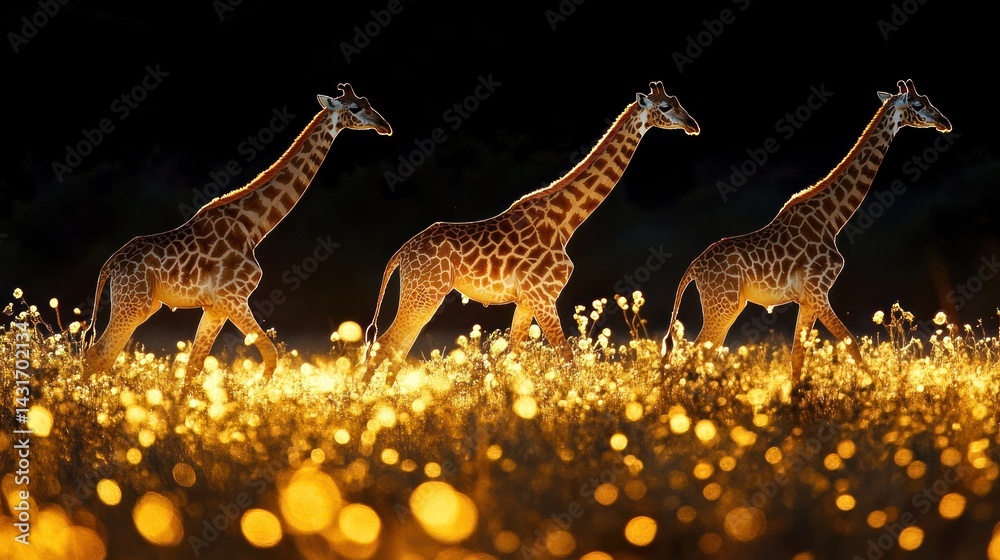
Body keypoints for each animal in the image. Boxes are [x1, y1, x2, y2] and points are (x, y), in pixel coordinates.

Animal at [83, 83, 392, 383]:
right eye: (355, 108)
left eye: (369, 102)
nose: (385, 126)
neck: (253, 227)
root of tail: (110, 265)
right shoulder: (233, 297)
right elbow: (270, 355)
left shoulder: (215, 307)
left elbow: (194, 366)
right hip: (134, 303)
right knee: (98, 353)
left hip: (146, 305)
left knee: (103, 354)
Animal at [363, 81, 700, 385]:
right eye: (665, 107)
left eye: (678, 101)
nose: (693, 125)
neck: (565, 221)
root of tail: (402, 253)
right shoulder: (543, 296)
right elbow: (566, 356)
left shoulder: (525, 301)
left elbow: (513, 356)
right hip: (426, 292)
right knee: (386, 343)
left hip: (424, 293)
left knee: (398, 347)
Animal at [660, 79, 951, 395]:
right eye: (918, 104)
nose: (945, 122)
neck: (832, 219)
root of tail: (693, 269)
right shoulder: (818, 290)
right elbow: (851, 344)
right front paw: (880, 391)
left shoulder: (806, 299)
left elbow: (797, 355)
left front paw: (795, 400)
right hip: (724, 306)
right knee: (693, 354)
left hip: (724, 306)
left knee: (697, 355)